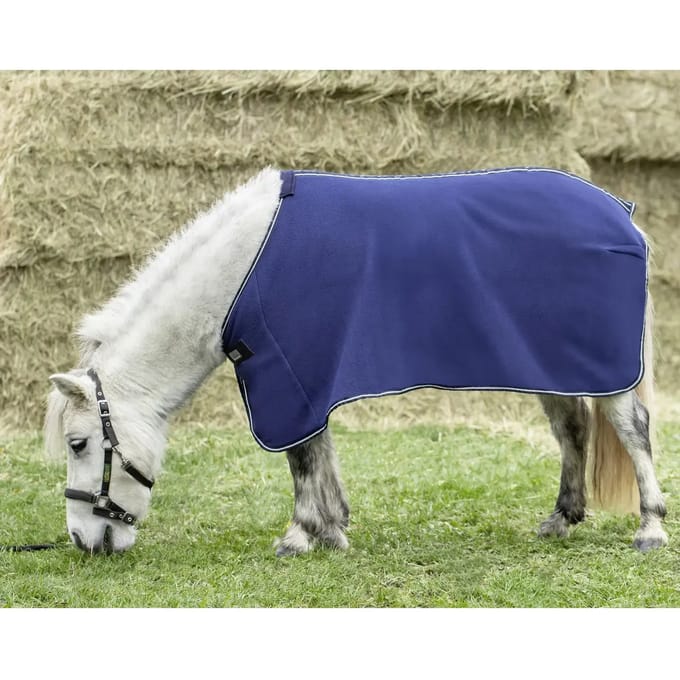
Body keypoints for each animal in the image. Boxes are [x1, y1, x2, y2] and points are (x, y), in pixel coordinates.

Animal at [44, 167, 667, 555]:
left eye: (78, 444)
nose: (82, 541)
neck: (244, 269)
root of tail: (622, 212)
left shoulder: (286, 378)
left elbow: (301, 458)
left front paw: (300, 535)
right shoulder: (303, 377)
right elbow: (319, 451)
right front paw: (332, 530)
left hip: (603, 369)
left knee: (631, 429)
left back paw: (651, 527)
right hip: (551, 364)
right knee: (573, 430)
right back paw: (562, 519)